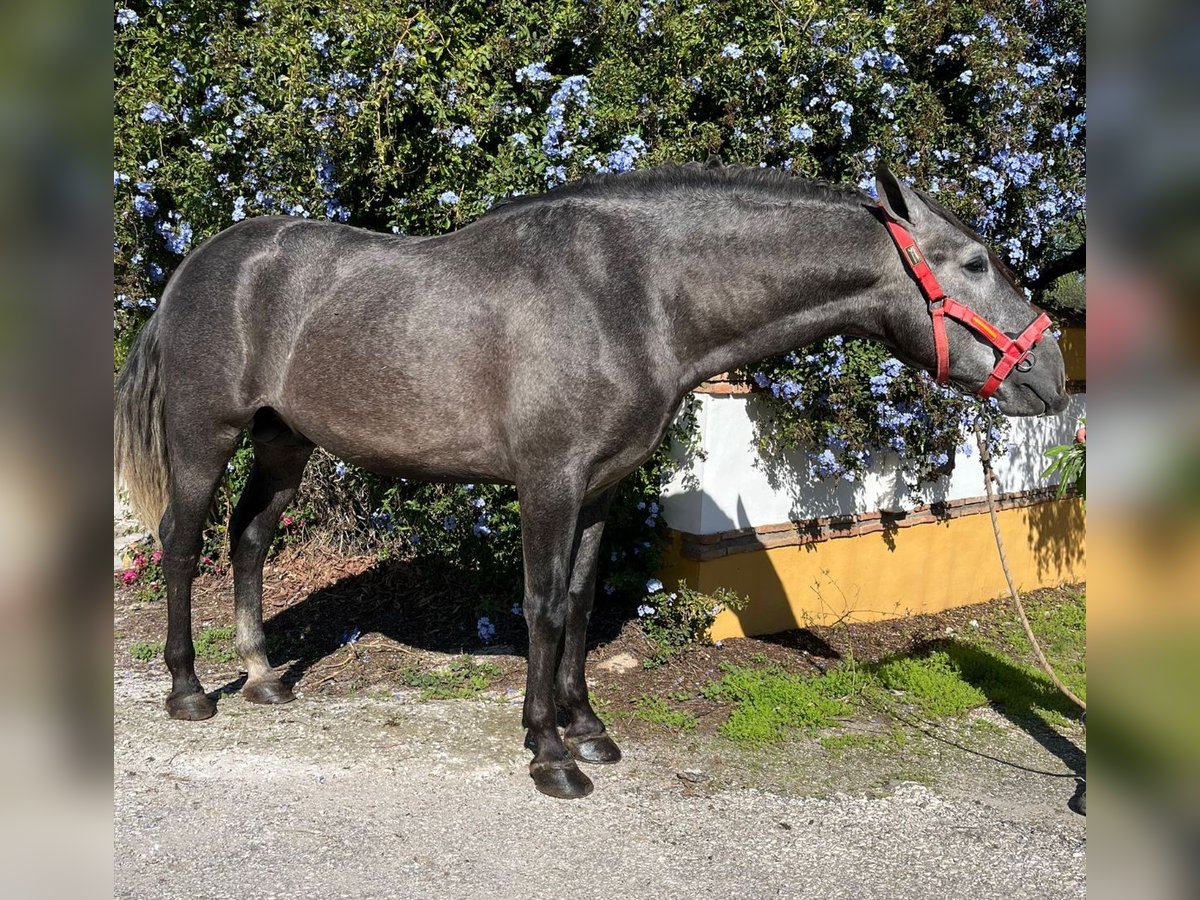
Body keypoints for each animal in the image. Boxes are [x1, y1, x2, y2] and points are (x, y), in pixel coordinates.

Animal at [114, 162, 1070, 796]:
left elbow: (576, 604)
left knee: (248, 541)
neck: (633, 295)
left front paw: (589, 731)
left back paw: (265, 675)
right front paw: (548, 753)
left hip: (285, 445)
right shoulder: (550, 481)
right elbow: (541, 606)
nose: (1051, 374)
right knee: (182, 545)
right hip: (204, 439)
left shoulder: (601, 486)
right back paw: (190, 691)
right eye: (976, 262)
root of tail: (200, 263)